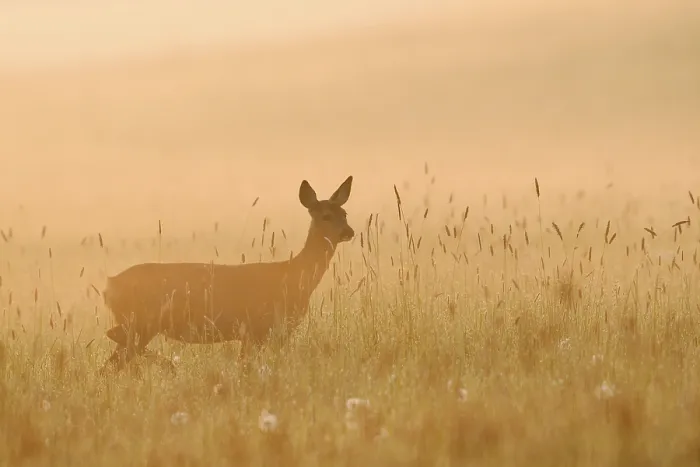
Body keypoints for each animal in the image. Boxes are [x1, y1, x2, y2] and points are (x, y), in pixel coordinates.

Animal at [99, 176, 355, 374]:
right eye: (325, 216)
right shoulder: (257, 328)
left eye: (344, 213)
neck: (295, 275)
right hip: (142, 321)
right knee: (117, 347)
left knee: (113, 358)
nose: (349, 232)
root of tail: (109, 286)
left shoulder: (267, 333)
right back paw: (169, 364)